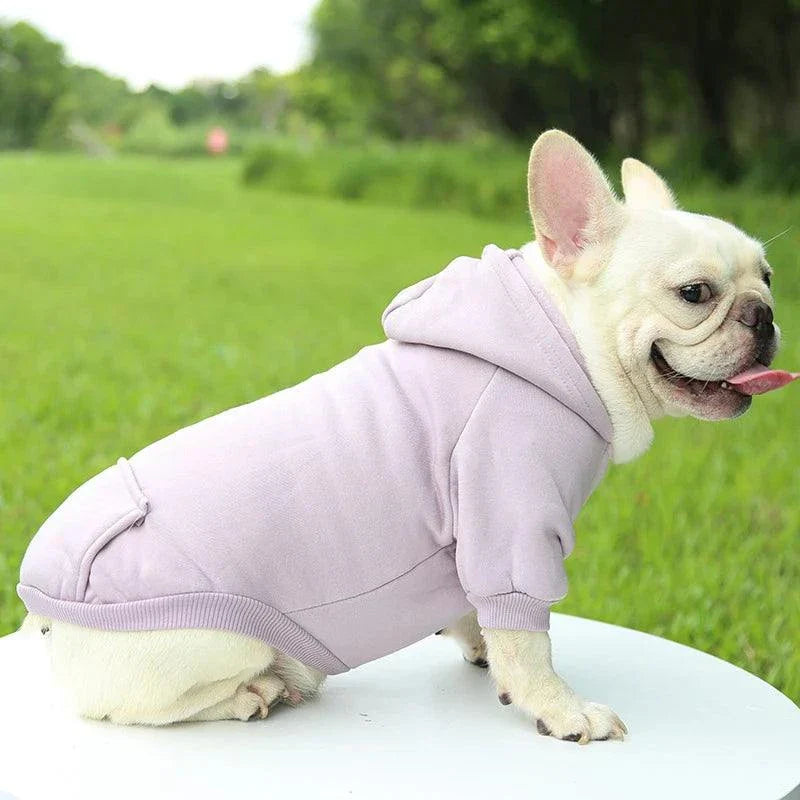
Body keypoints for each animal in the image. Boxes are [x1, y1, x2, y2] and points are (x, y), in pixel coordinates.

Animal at [17, 128, 788, 748]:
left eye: (769, 276)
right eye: (695, 293)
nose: (764, 313)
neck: (563, 343)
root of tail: (44, 613)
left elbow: (481, 614)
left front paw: (479, 651)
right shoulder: (509, 519)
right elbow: (527, 635)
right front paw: (561, 709)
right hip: (210, 641)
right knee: (131, 708)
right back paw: (257, 692)